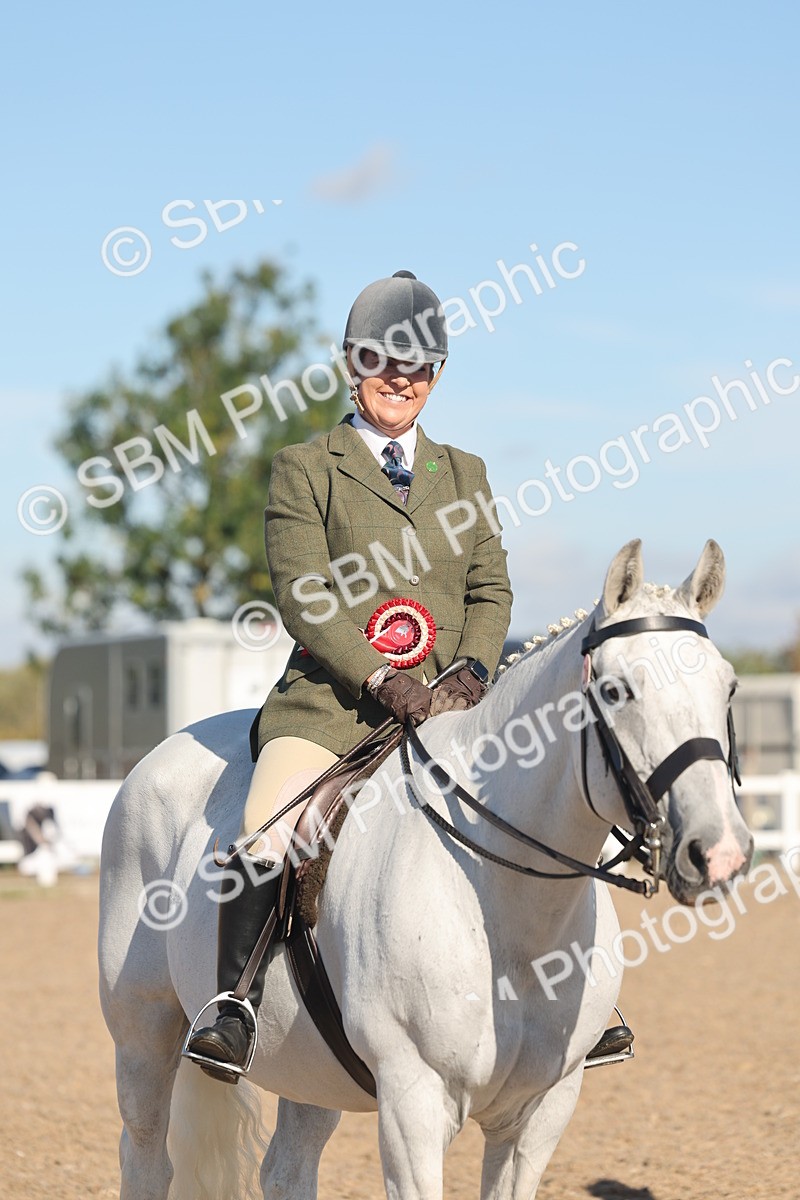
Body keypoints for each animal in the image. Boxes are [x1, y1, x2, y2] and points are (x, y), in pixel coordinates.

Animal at [98, 538, 753, 1199]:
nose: (718, 852)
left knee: (286, 1168)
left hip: (310, 1063)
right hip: (143, 1033)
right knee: (146, 1156)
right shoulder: (413, 1103)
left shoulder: (542, 1113)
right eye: (617, 691)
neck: (511, 913)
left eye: (728, 687)